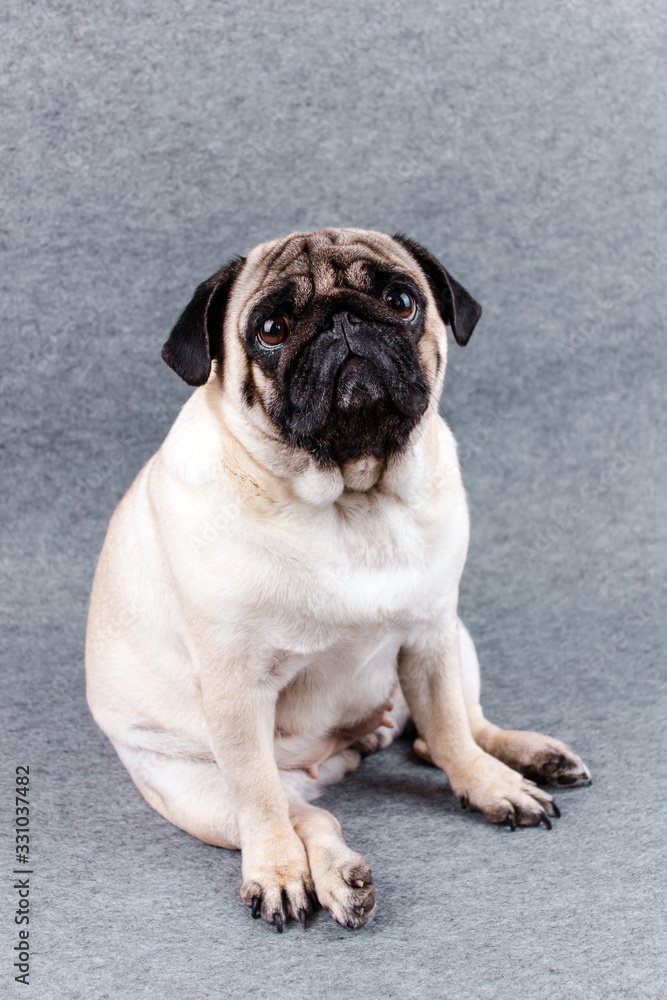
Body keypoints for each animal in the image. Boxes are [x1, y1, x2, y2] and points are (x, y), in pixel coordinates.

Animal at [86, 227, 592, 928]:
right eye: (271, 329)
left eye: (401, 301)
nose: (344, 319)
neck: (352, 499)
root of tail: (340, 757)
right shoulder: (235, 689)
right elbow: (263, 801)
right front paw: (276, 871)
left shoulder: (431, 633)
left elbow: (449, 727)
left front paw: (488, 785)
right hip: (197, 789)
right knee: (306, 816)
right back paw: (331, 875)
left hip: (458, 640)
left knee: (452, 730)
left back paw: (525, 760)